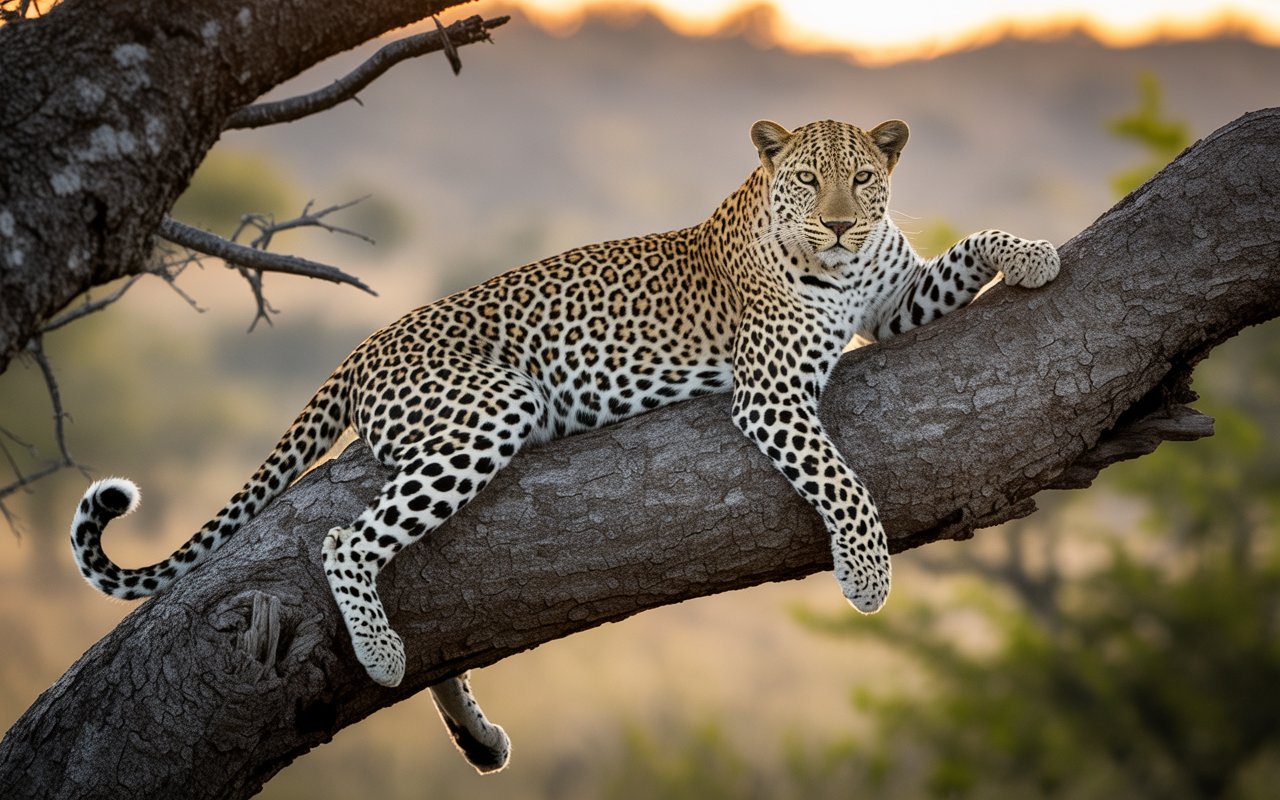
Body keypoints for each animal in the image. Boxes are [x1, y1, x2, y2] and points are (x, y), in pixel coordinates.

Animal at [70, 118, 1059, 774]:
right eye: (810, 181)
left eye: (861, 177)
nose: (846, 224)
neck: (842, 269)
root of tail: (366, 345)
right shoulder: (774, 391)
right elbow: (841, 481)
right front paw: (866, 574)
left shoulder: (897, 305)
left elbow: (967, 247)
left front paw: (1037, 254)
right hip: (487, 410)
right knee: (346, 540)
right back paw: (384, 655)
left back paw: (473, 733)